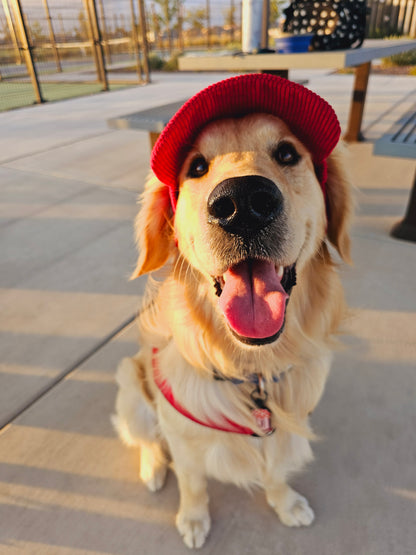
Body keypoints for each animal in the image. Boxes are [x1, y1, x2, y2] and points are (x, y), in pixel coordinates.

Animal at [112, 75, 352, 552]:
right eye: (197, 167)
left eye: (287, 154)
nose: (243, 203)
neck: (252, 367)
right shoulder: (183, 438)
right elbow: (193, 484)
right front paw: (193, 518)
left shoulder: (284, 425)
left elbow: (276, 469)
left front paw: (286, 502)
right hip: (132, 383)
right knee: (146, 440)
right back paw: (152, 468)